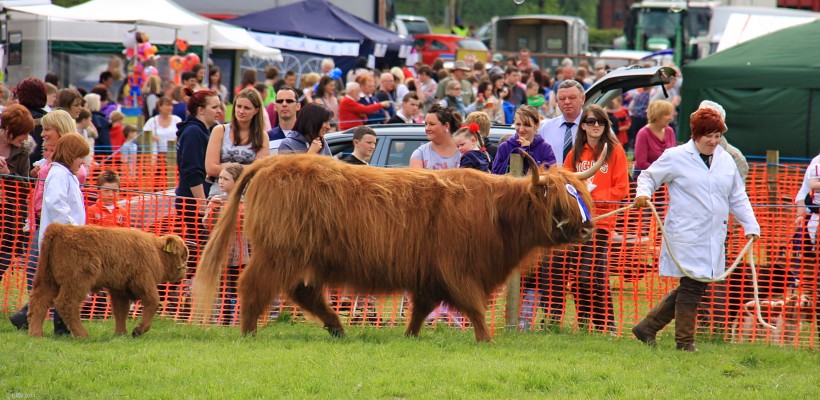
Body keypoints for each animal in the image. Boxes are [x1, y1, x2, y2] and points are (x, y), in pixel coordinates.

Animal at [27, 223, 189, 338]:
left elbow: (120, 310)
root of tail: (60, 228)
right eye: (182, 255)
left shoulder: (119, 288)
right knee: (66, 304)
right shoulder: (144, 280)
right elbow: (153, 302)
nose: (184, 273)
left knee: (39, 301)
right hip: (77, 282)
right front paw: (138, 330)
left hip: (48, 280)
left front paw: (120, 334)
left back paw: (36, 334)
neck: (156, 251)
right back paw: (82, 335)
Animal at [193, 148, 606, 342]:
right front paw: (487, 340)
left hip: (303, 256)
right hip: (280, 252)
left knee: (303, 292)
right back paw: (249, 333)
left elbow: (421, 309)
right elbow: (473, 307)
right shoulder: (458, 269)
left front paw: (410, 337)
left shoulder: (431, 276)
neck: (495, 212)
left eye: (582, 196)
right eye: (560, 203)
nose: (588, 230)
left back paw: (337, 328)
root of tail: (270, 165)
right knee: (254, 286)